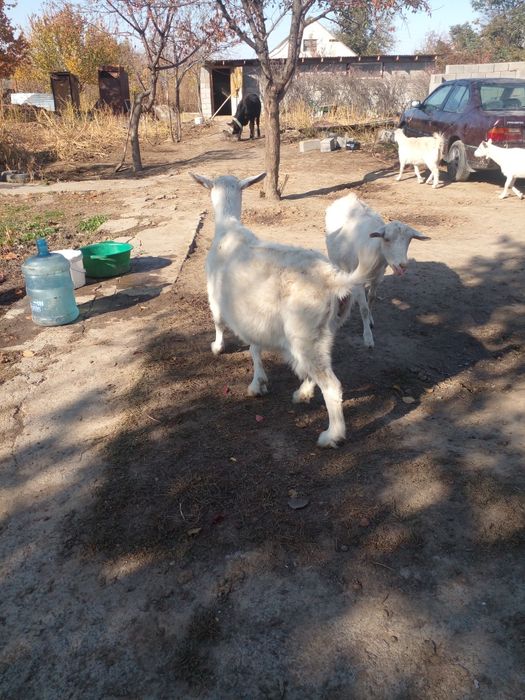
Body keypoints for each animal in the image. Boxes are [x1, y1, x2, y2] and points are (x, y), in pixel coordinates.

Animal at [190, 172, 367, 447]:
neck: (228, 227)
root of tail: (334, 279)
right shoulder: (251, 314)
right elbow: (254, 347)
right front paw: (258, 384)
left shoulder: (215, 297)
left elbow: (220, 323)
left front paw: (218, 348)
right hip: (323, 331)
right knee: (314, 366)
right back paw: (302, 393)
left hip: (304, 331)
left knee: (331, 385)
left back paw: (331, 435)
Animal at [326, 193, 430, 348]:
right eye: (386, 239)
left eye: (410, 240)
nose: (402, 265)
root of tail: (349, 196)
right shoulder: (358, 280)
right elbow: (363, 309)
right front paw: (368, 337)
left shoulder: (378, 278)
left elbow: (372, 299)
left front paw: (370, 321)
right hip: (336, 260)